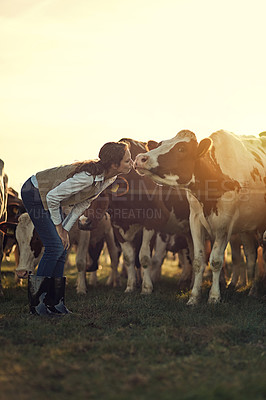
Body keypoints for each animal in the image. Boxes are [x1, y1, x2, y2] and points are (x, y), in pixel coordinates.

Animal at [135, 130, 266, 304]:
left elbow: (216, 260)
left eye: (181, 149)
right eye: (161, 143)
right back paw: (250, 288)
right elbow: (198, 261)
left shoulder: (225, 224)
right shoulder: (195, 221)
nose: (140, 158)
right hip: (246, 229)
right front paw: (194, 297)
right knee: (251, 255)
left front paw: (214, 297)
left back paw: (253, 289)